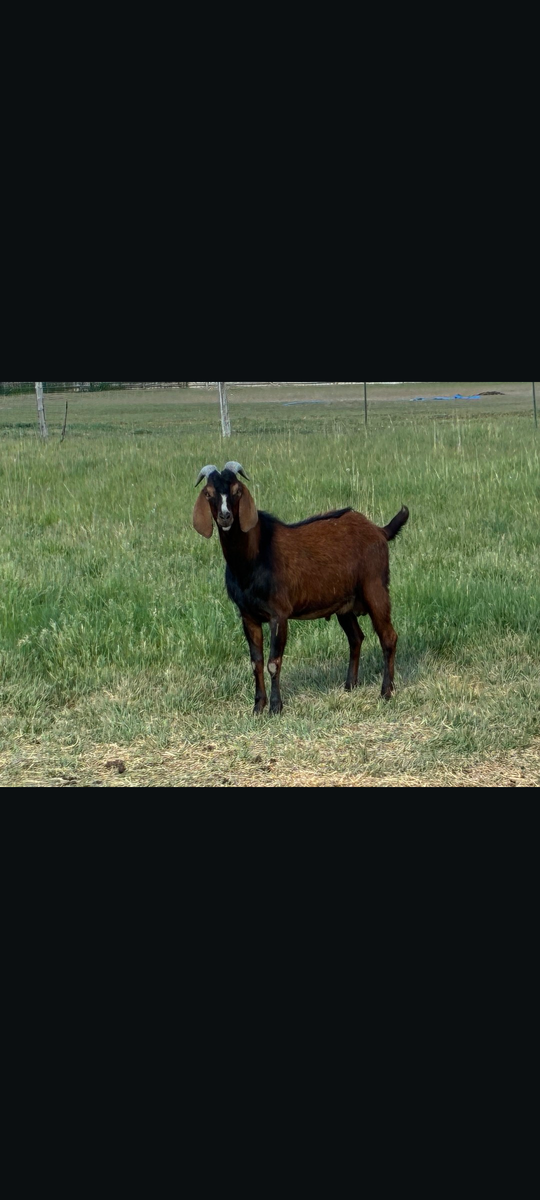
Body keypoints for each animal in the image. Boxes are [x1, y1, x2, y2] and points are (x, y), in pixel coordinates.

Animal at [193, 462, 409, 716]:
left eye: (237, 490)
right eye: (208, 493)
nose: (225, 516)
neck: (254, 557)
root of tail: (380, 530)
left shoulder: (279, 613)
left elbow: (273, 663)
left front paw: (275, 707)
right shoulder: (248, 615)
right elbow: (256, 662)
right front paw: (258, 706)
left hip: (375, 588)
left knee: (389, 637)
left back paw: (386, 692)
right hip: (344, 604)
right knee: (356, 638)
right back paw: (349, 685)